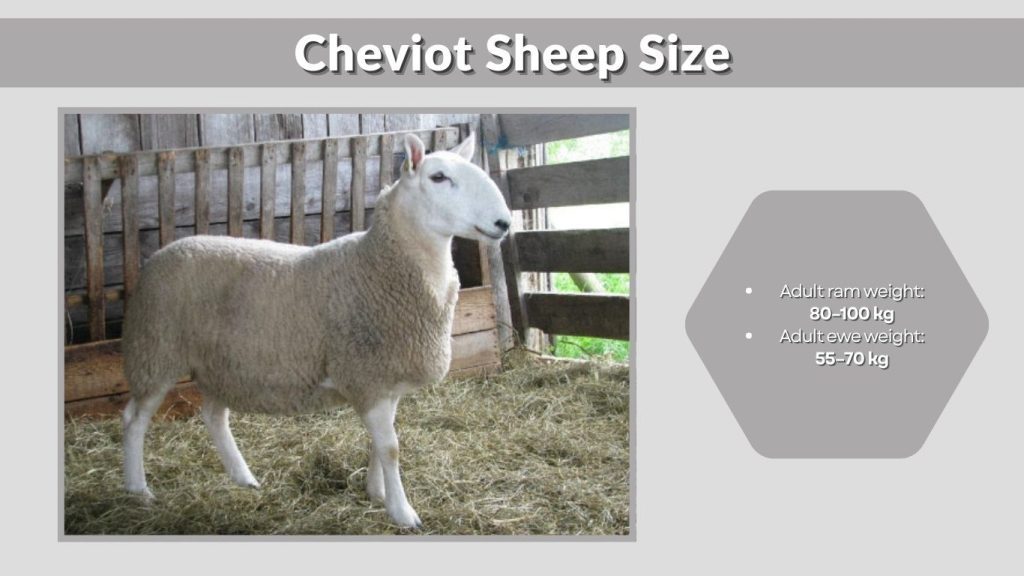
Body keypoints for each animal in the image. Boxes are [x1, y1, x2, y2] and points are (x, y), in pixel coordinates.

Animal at [121, 132, 512, 529]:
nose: (504, 223)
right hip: (155, 349)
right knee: (134, 419)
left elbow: (380, 444)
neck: (380, 264)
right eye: (438, 177)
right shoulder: (367, 376)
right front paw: (403, 513)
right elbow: (391, 449)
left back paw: (243, 477)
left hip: (221, 363)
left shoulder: (383, 379)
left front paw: (378, 492)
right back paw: (139, 490)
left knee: (214, 417)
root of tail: (160, 254)